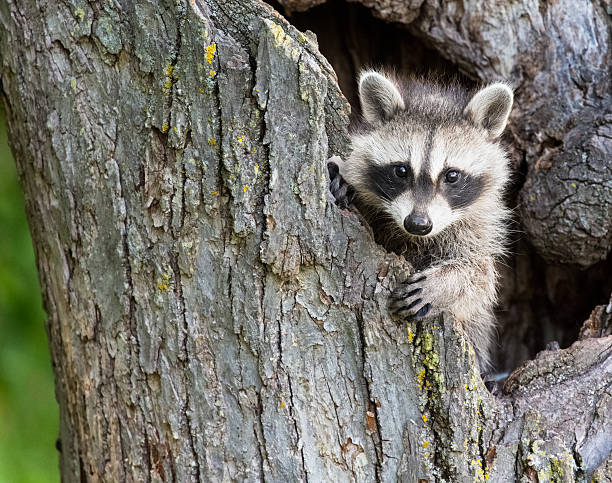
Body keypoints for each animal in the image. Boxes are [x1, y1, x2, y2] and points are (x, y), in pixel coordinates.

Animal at [328, 70, 512, 368]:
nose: (418, 224)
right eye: (401, 170)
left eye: (452, 175)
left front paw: (445, 285)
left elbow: (480, 277)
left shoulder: (477, 228)